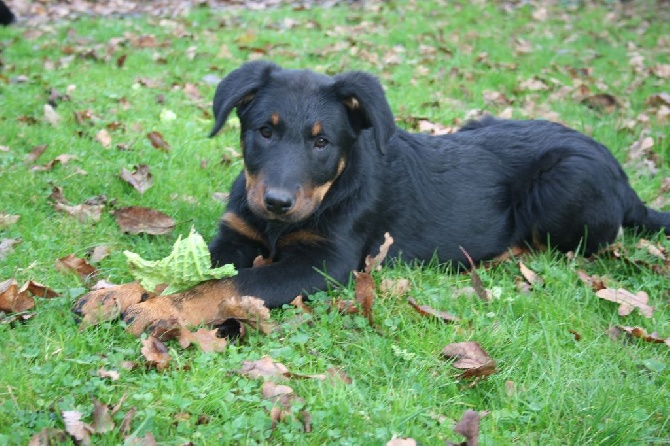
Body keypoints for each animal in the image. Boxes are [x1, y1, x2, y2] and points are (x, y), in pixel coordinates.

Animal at [75, 61, 670, 334]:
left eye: (322, 142)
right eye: (264, 131)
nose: (277, 202)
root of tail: (627, 185)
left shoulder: (325, 262)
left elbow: (222, 287)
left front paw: (160, 309)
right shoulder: (237, 236)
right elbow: (192, 272)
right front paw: (116, 293)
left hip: (563, 183)